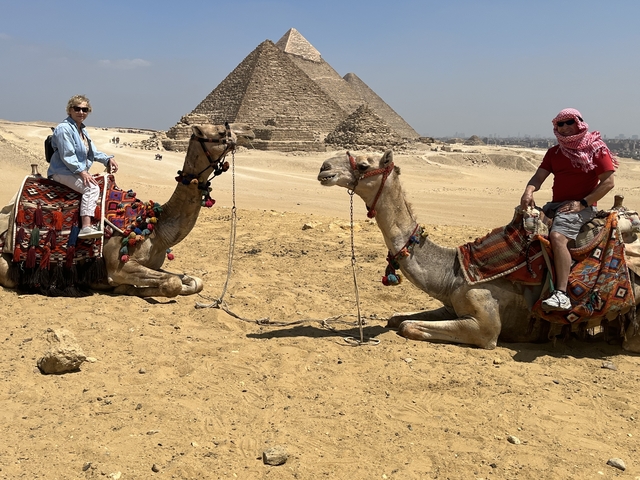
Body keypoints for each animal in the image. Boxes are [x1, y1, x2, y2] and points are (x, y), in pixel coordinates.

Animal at [0, 123, 254, 297]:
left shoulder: (154, 264)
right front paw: (127, 288)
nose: (249, 132)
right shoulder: (119, 265)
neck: (153, 227)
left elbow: (192, 282)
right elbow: (171, 284)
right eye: (220, 132)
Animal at [317, 150, 640, 352]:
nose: (324, 168)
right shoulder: (451, 304)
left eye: (363, 165)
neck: (453, 271)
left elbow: (407, 326)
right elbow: (396, 318)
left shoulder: (485, 327)